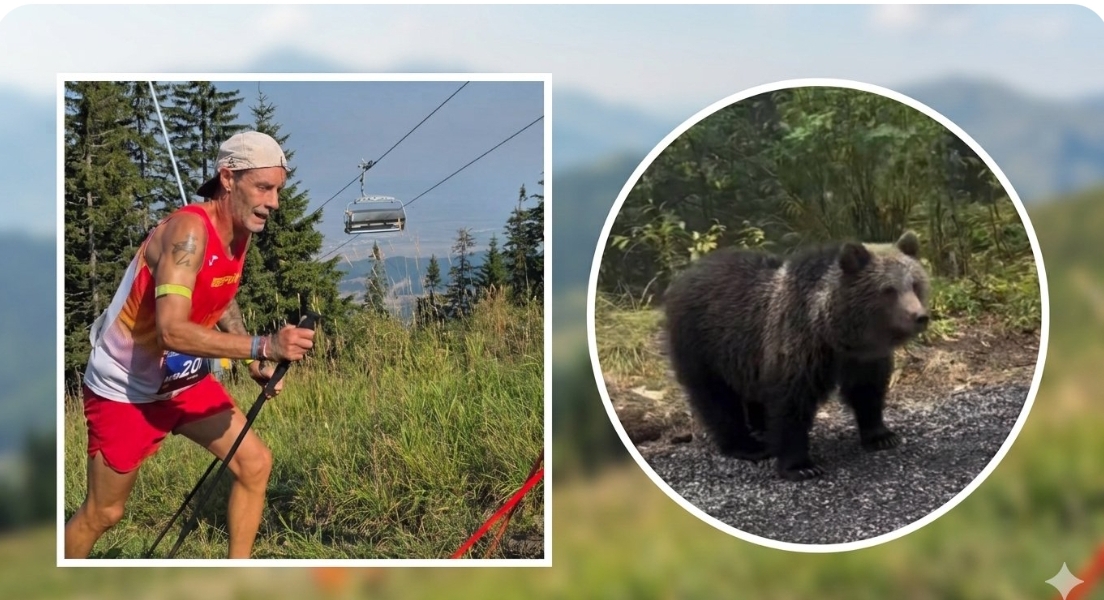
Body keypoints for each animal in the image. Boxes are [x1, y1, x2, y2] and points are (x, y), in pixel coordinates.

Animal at [662, 231, 930, 481]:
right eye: (888, 290)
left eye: (915, 284)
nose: (920, 316)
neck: (835, 334)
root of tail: (683, 277)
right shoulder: (799, 349)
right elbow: (791, 404)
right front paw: (801, 466)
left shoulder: (864, 358)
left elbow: (868, 391)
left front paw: (882, 436)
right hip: (703, 344)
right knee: (717, 398)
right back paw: (748, 445)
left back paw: (761, 428)